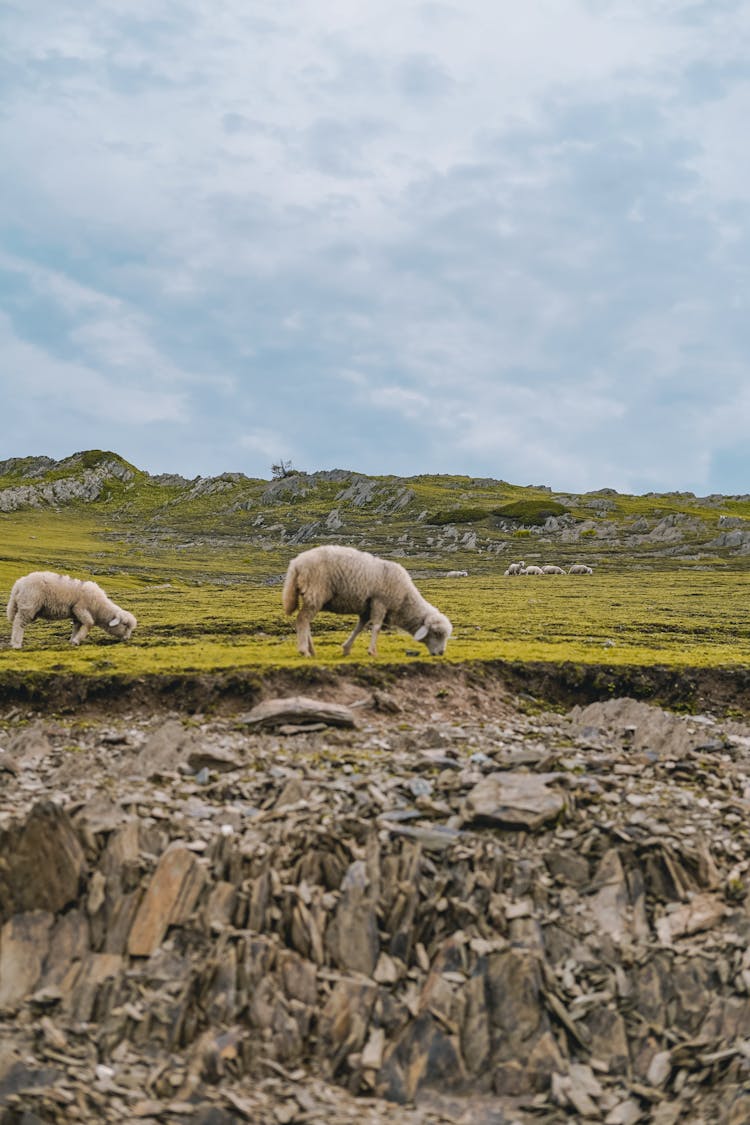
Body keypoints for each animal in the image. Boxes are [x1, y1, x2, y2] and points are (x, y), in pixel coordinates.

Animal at [5, 571, 137, 652]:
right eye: (125, 624)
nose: (127, 639)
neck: (99, 608)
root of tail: (18, 584)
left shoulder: (77, 615)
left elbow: (77, 627)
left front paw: (73, 639)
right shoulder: (79, 608)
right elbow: (89, 623)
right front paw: (77, 640)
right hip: (29, 605)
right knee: (19, 623)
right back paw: (16, 644)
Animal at [281, 544, 452, 657]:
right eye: (437, 634)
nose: (441, 653)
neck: (405, 600)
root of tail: (296, 564)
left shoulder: (366, 609)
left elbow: (359, 627)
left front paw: (346, 648)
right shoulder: (380, 601)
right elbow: (376, 627)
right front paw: (372, 652)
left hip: (311, 594)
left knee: (306, 621)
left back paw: (311, 650)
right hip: (316, 590)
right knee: (302, 619)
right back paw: (304, 650)